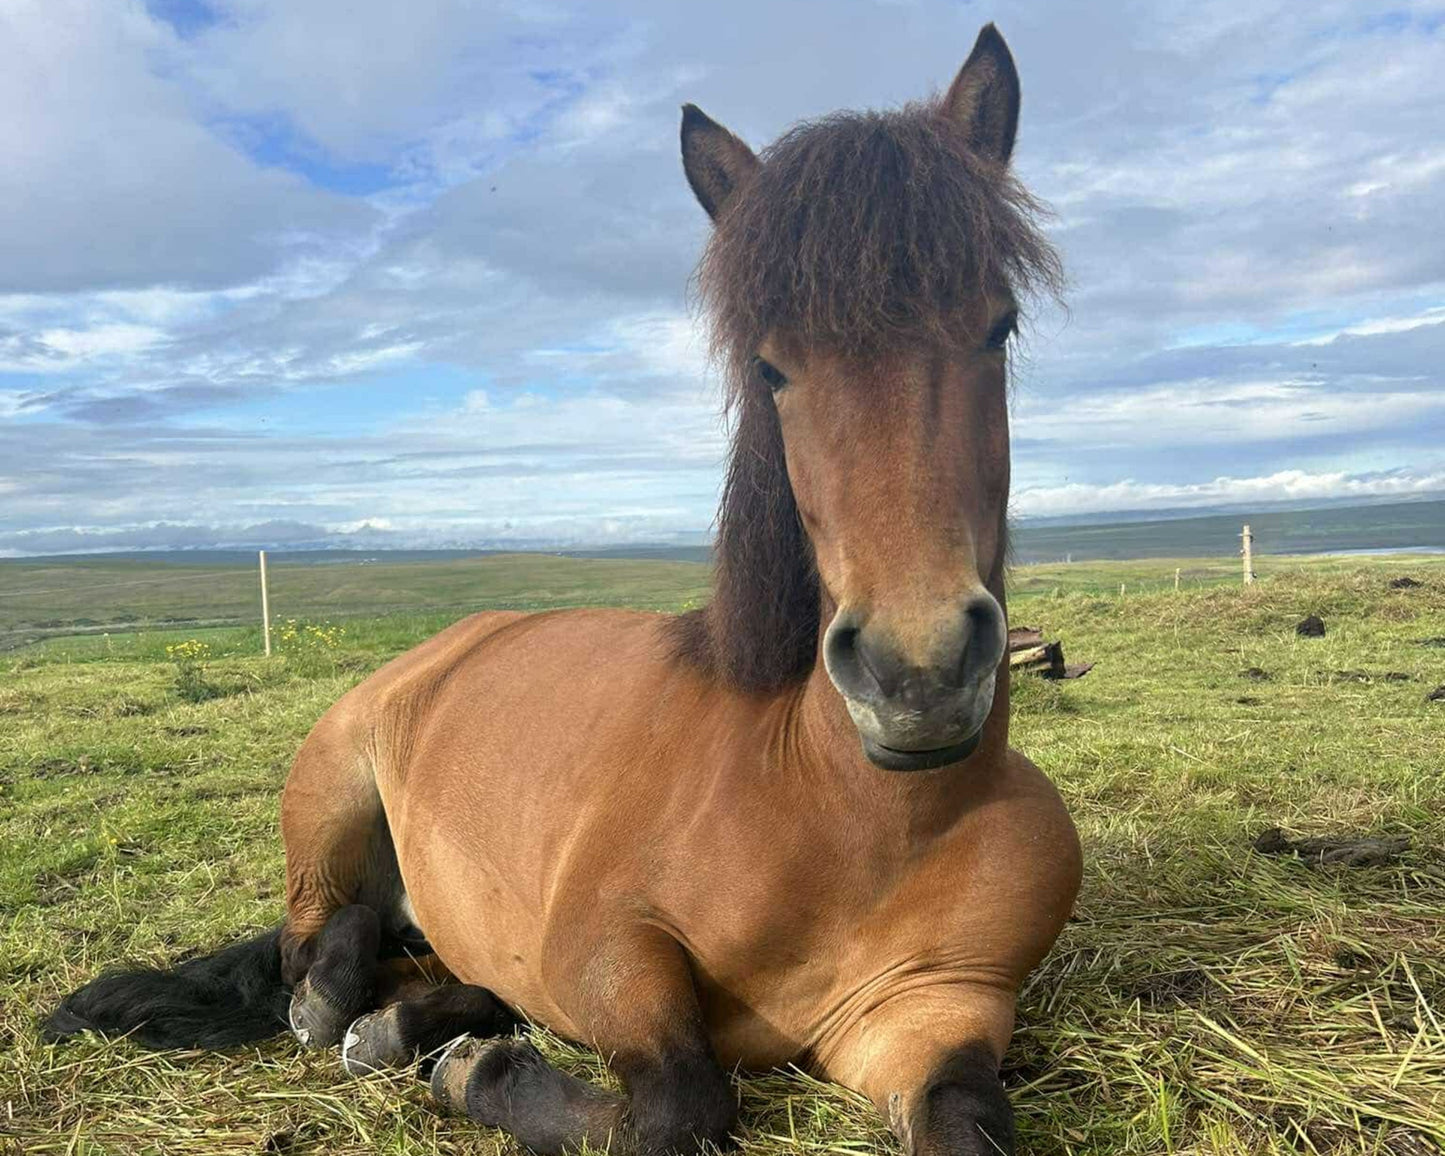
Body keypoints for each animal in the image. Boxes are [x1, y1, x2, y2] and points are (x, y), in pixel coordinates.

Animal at [47, 24, 1079, 1156]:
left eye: (997, 326)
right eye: (770, 368)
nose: (916, 672)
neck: (841, 808)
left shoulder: (932, 1011)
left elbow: (963, 1120)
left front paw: (466, 1054)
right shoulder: (603, 946)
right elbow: (677, 1103)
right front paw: (483, 1075)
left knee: (425, 959)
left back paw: (405, 1019)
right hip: (329, 800)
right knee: (315, 936)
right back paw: (342, 1003)